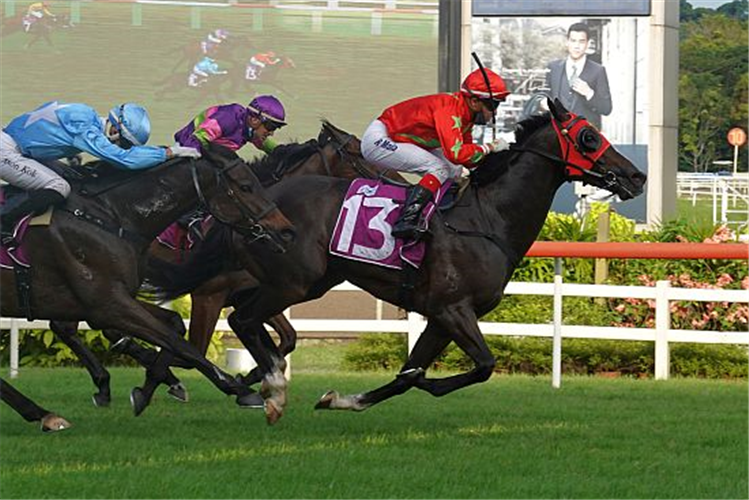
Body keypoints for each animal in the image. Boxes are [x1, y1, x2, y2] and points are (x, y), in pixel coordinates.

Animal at [0, 144, 296, 430]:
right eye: (246, 186)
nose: (286, 231)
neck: (111, 217)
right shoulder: (109, 304)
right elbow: (183, 344)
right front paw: (241, 388)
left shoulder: (117, 299)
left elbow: (175, 326)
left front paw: (152, 384)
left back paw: (44, 413)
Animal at [150, 98, 644, 422]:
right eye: (588, 136)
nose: (637, 176)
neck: (487, 218)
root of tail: (263, 199)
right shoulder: (454, 309)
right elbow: (482, 366)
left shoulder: (441, 317)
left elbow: (410, 374)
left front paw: (345, 400)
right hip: (292, 281)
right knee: (243, 320)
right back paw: (269, 388)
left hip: (302, 280)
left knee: (252, 323)